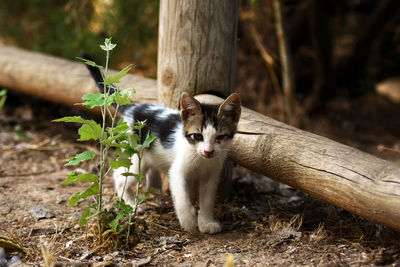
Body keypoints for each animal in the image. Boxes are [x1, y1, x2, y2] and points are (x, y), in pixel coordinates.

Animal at [86, 62, 241, 234]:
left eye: (220, 137)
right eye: (197, 136)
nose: (208, 151)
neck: (200, 158)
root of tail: (135, 108)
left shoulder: (211, 173)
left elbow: (207, 200)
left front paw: (207, 222)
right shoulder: (177, 171)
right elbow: (182, 197)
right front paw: (188, 221)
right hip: (137, 157)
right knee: (119, 176)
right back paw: (130, 204)